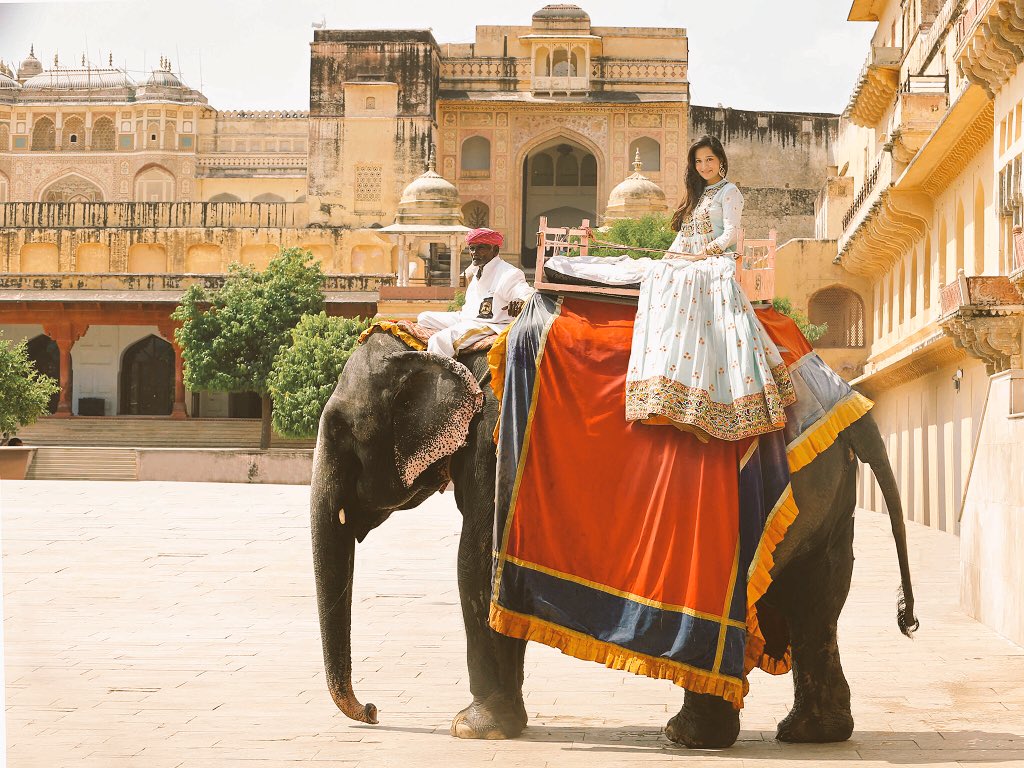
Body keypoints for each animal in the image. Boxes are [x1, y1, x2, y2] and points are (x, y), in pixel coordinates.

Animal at [310, 329, 918, 748]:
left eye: (339, 429)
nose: (373, 711)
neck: (453, 348)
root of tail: (853, 409)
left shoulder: (493, 450)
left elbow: (475, 563)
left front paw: (472, 730)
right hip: (826, 497)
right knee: (816, 603)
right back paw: (809, 734)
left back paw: (687, 737)